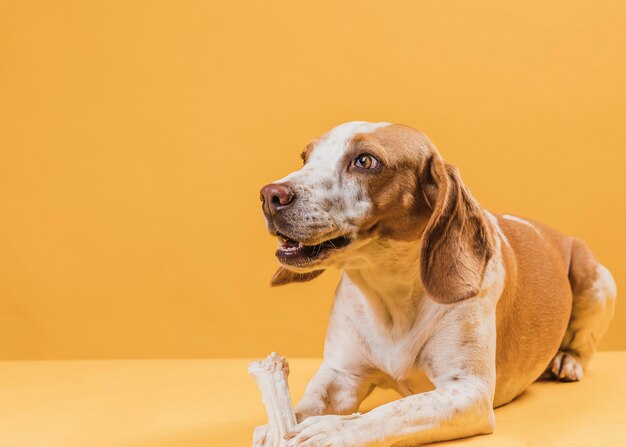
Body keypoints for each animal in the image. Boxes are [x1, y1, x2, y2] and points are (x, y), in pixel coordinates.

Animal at [252, 122, 616, 447]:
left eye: (365, 161)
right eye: (305, 157)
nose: (270, 195)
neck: (390, 292)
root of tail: (555, 233)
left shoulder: (468, 391)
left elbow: (393, 411)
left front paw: (332, 430)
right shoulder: (341, 376)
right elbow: (302, 406)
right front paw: (275, 428)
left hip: (598, 281)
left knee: (584, 343)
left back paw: (566, 360)